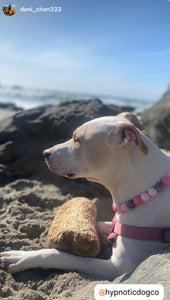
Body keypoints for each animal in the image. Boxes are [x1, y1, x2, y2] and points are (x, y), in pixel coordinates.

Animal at [0, 112, 170, 278]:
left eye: (77, 140)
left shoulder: (116, 268)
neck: (148, 187)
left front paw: (21, 256)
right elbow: (99, 223)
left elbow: (57, 255)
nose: (45, 153)